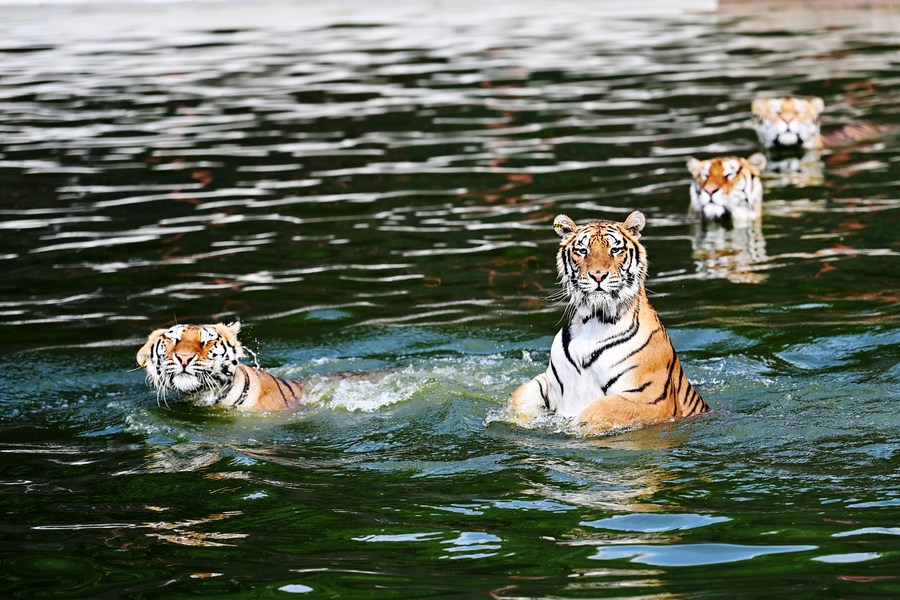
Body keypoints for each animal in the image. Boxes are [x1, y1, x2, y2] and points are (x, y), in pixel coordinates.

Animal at [508, 211, 708, 433]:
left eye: (615, 250)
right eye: (583, 251)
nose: (598, 275)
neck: (593, 321)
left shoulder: (652, 397)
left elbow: (599, 408)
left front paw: (574, 428)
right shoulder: (550, 381)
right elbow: (519, 394)